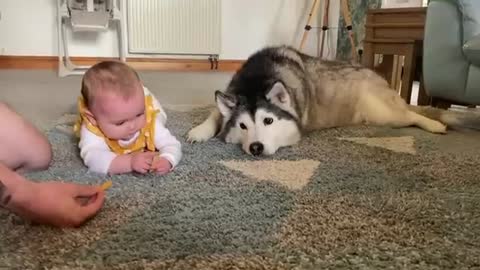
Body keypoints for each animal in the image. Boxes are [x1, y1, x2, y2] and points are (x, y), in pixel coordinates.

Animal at [188, 46, 480, 156]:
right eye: (243, 126)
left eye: (268, 120)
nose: (256, 148)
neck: (257, 81)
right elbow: (215, 113)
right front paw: (199, 131)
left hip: (385, 113)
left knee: (412, 115)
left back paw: (434, 125)